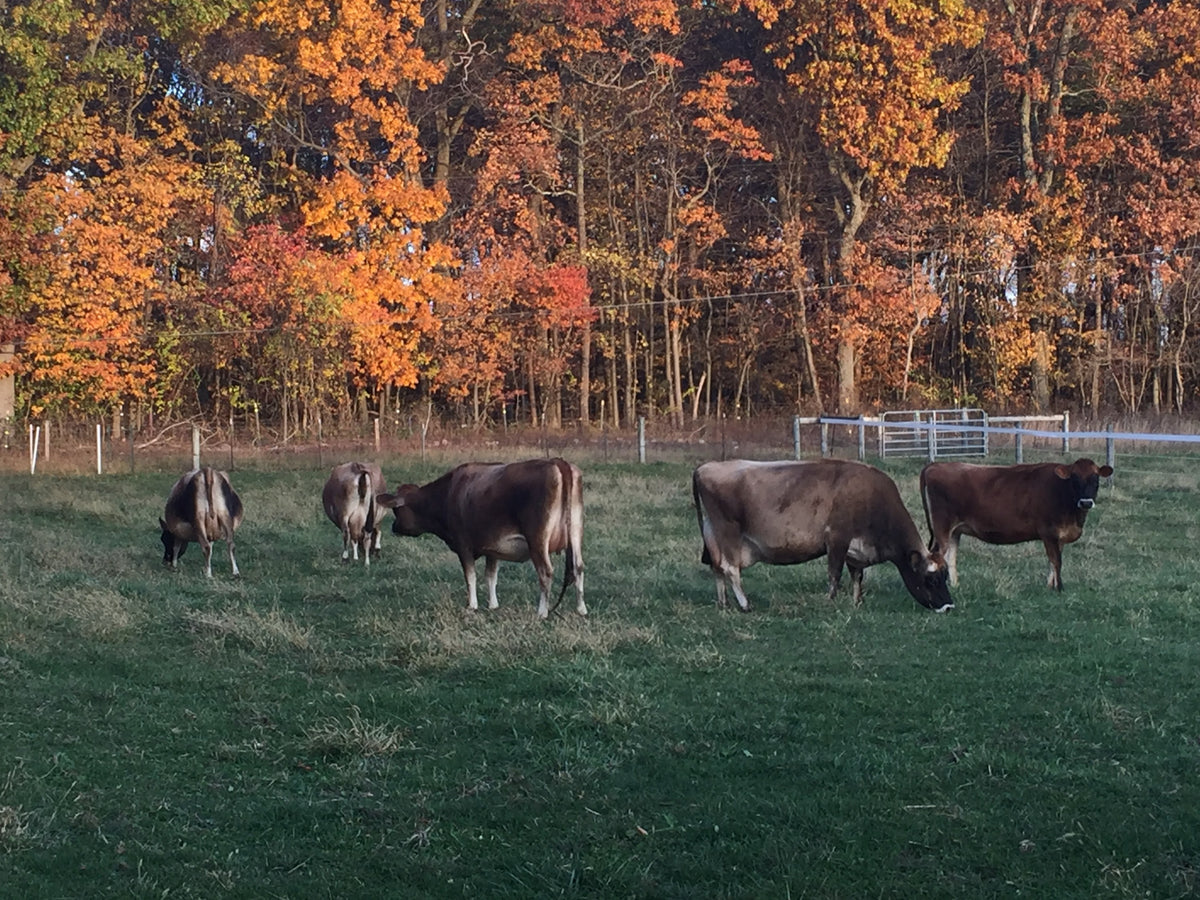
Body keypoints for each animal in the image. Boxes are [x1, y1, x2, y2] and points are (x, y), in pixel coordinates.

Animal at [376, 458, 585, 619]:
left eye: (396, 510)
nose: (394, 527)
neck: (447, 493)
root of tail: (557, 462)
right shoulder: (493, 548)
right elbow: (490, 576)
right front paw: (493, 605)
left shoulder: (463, 545)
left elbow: (471, 576)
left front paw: (472, 605)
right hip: (575, 532)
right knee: (578, 567)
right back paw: (581, 609)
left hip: (537, 539)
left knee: (546, 572)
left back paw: (542, 612)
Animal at [692, 458, 953, 612]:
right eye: (931, 579)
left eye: (946, 576)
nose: (949, 606)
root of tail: (706, 466)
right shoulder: (837, 538)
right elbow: (834, 574)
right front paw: (831, 601)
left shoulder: (855, 550)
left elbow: (857, 576)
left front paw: (857, 602)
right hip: (728, 532)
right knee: (730, 568)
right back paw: (745, 604)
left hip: (712, 533)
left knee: (717, 568)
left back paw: (724, 603)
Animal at [919, 458, 1114, 590]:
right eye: (1074, 479)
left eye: (1096, 480)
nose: (1086, 502)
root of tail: (936, 465)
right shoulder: (1049, 532)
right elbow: (1057, 561)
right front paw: (1060, 588)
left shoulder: (1059, 536)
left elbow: (1051, 563)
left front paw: (1050, 587)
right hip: (942, 527)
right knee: (936, 556)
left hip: (954, 531)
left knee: (950, 558)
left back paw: (954, 585)